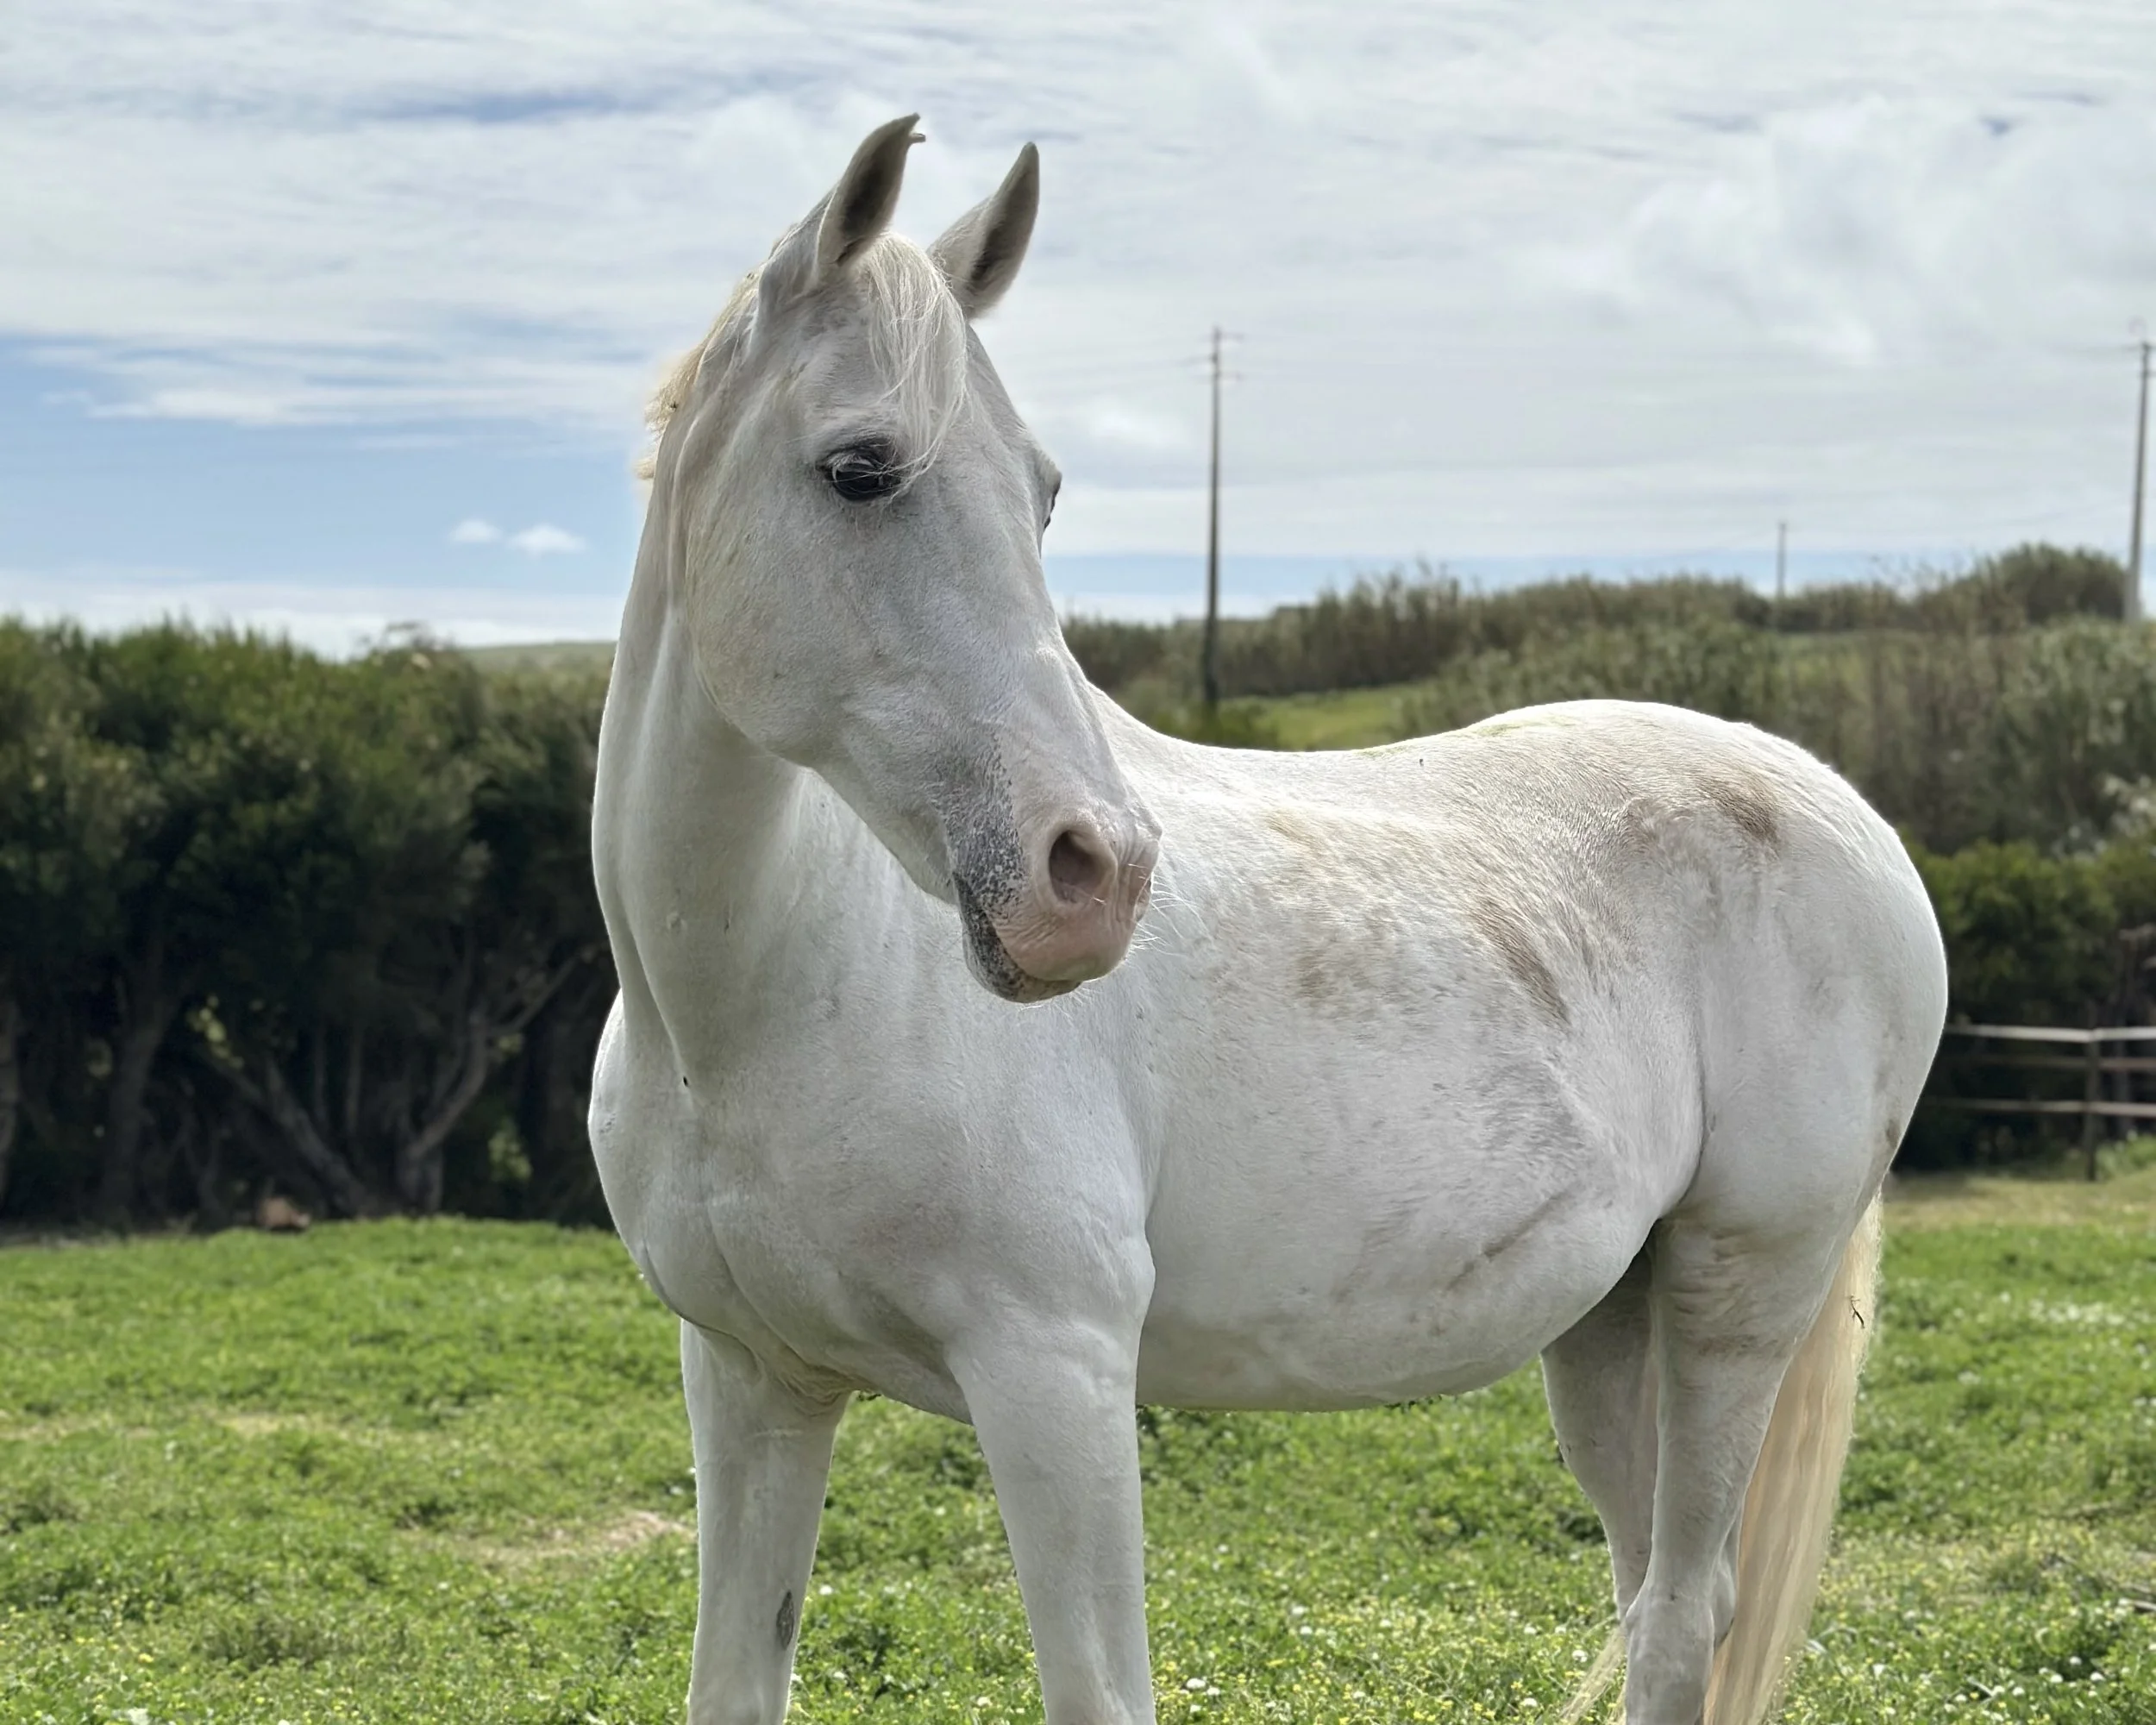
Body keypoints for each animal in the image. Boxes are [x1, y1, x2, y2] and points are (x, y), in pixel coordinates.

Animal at [587, 114, 1947, 1725]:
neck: (759, 1005)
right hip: (1611, 1325)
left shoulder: (1054, 1375)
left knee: (1687, 1615)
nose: (1093, 874)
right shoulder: (754, 1382)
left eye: (1042, 492)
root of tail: (1845, 809)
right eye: (860, 470)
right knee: (1650, 1600)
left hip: (1740, 1295)